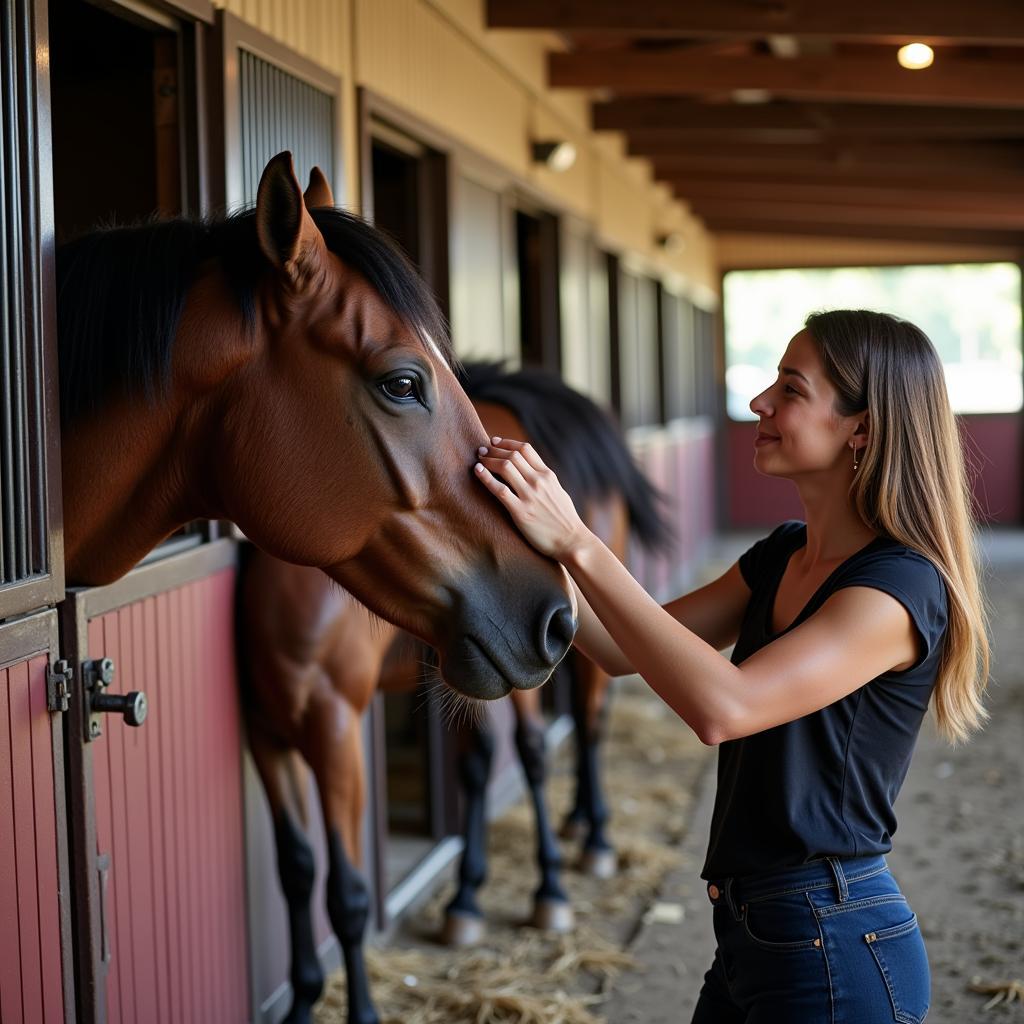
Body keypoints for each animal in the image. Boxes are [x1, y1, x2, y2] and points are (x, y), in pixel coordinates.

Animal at [56, 151, 577, 1024]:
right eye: (402, 383)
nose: (555, 617)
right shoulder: (268, 727)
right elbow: (300, 869)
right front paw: (304, 1001)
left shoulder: (336, 727)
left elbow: (351, 892)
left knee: (534, 753)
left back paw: (548, 887)